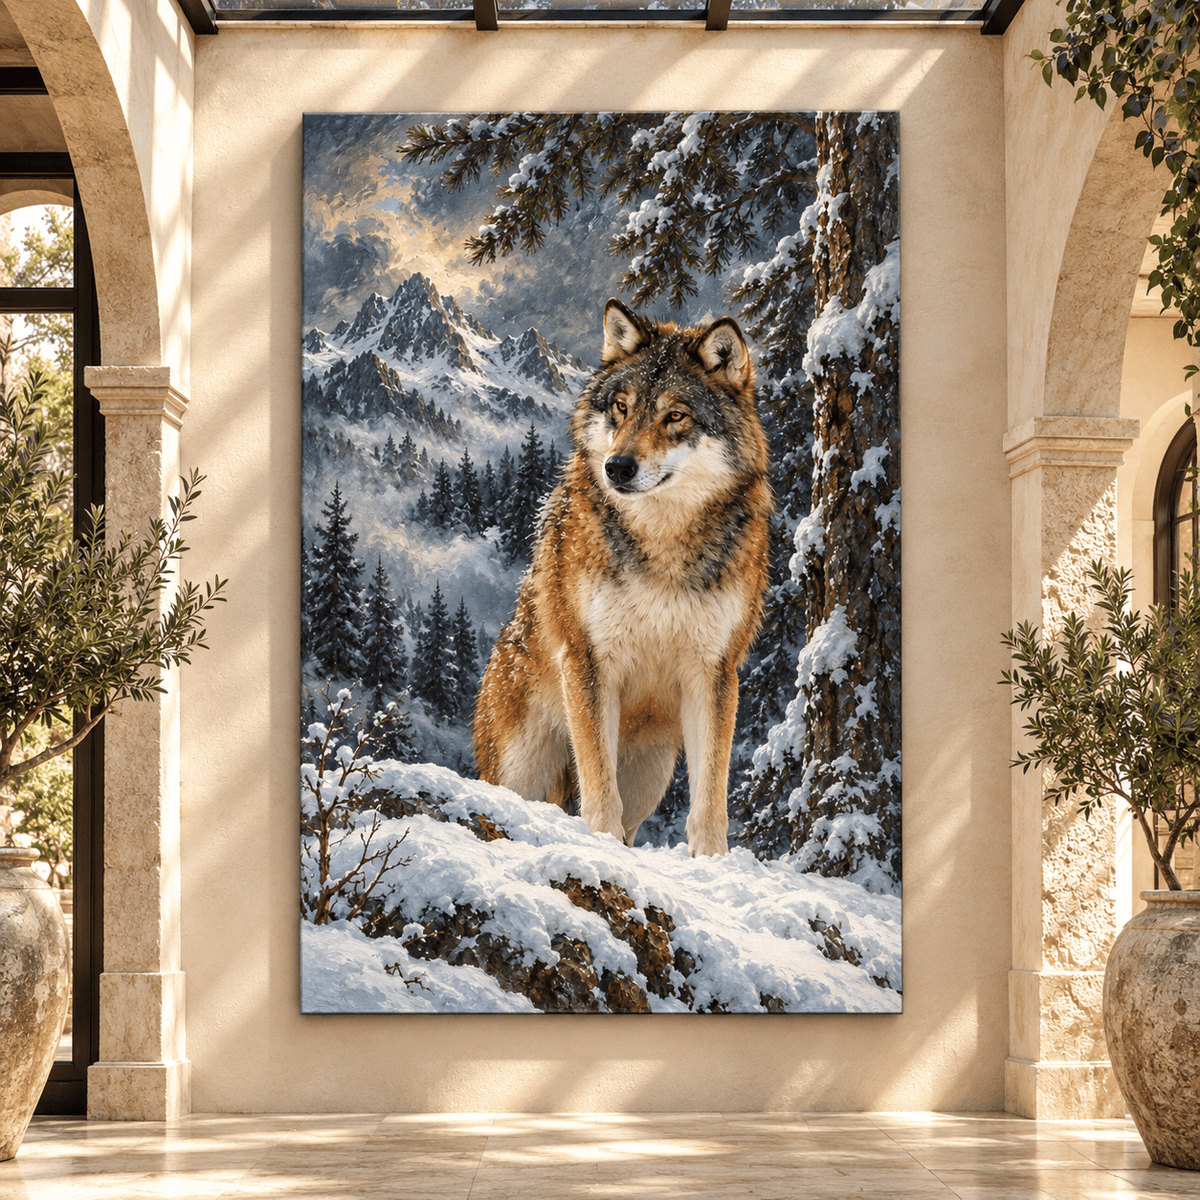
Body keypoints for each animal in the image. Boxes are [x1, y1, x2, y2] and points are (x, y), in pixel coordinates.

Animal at [473, 299, 771, 857]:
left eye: (674, 416)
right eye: (621, 408)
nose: (618, 466)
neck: (663, 545)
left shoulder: (714, 671)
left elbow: (710, 797)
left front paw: (711, 861)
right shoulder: (589, 660)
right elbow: (597, 781)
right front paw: (601, 844)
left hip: (650, 774)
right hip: (523, 768)